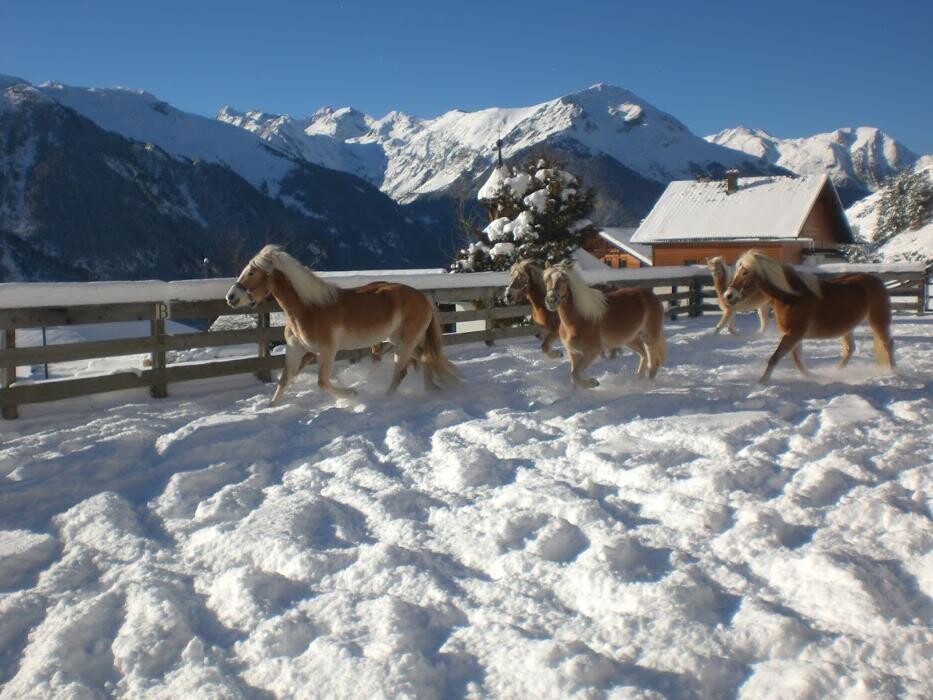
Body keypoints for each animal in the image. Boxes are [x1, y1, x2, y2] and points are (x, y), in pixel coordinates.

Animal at [226, 246, 458, 402]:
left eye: (251, 272)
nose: (231, 297)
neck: (308, 309)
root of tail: (423, 298)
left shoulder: (327, 350)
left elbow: (322, 382)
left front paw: (352, 393)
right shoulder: (295, 349)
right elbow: (284, 380)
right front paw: (272, 407)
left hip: (404, 344)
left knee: (402, 372)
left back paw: (386, 398)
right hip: (403, 342)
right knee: (427, 360)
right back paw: (433, 389)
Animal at [720, 249, 896, 382]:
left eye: (745, 272)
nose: (728, 296)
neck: (793, 296)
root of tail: (877, 281)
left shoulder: (794, 334)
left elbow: (776, 358)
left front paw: (762, 382)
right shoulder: (793, 336)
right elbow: (797, 360)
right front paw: (814, 377)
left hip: (878, 321)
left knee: (887, 344)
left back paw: (894, 372)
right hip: (848, 328)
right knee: (850, 349)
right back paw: (837, 371)